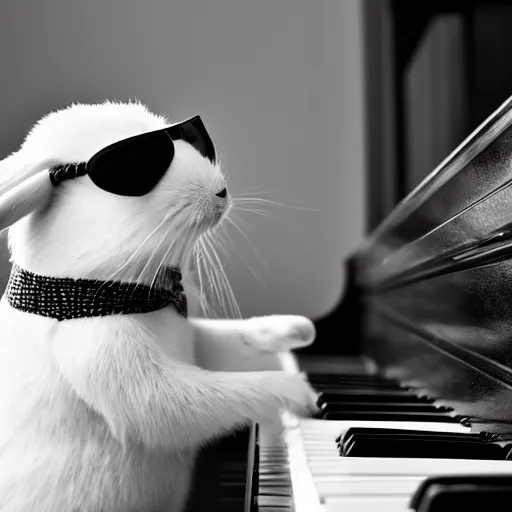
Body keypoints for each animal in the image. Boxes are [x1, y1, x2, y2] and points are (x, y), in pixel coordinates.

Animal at [0, 101, 318, 512]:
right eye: (135, 166)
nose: (221, 192)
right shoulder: (118, 365)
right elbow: (198, 402)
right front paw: (300, 393)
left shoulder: (195, 339)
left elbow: (232, 339)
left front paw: (297, 329)